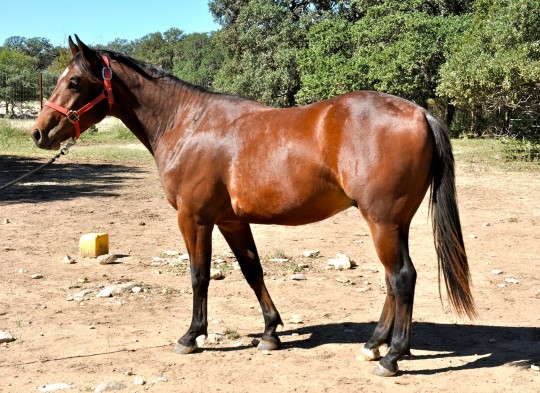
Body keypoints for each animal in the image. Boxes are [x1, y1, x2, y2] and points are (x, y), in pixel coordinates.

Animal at [31, 36, 474, 376]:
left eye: (74, 81)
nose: (39, 133)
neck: (188, 124)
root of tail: (420, 113)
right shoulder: (230, 222)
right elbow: (252, 271)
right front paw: (270, 333)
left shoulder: (194, 219)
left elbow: (199, 276)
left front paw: (192, 335)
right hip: (393, 223)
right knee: (392, 280)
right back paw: (375, 344)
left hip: (382, 221)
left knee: (401, 277)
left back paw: (392, 356)